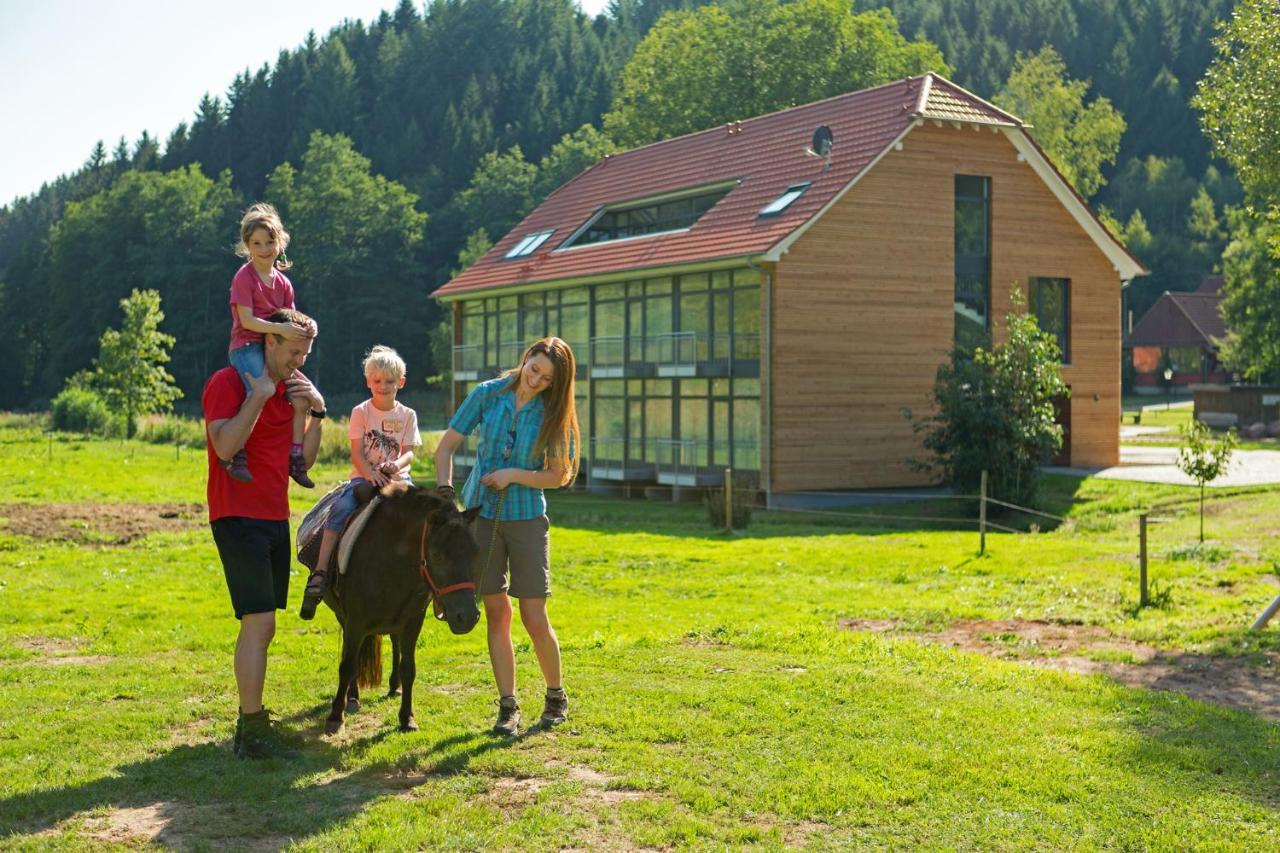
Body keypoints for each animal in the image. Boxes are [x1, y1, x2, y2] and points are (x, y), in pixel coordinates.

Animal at [320, 481, 481, 732]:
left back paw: (393, 686)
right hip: (344, 618)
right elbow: (347, 665)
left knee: (394, 643)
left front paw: (407, 718)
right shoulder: (355, 622)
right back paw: (353, 697)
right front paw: (336, 717)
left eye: (475, 552)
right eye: (437, 556)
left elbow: (409, 669)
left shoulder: (413, 622)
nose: (467, 617)